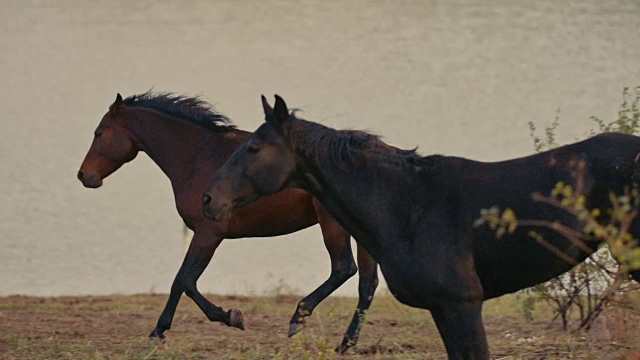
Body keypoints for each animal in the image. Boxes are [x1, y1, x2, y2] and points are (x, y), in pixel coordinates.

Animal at [79, 92, 380, 352]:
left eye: (99, 133)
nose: (84, 175)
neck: (198, 157)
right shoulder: (204, 235)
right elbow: (181, 281)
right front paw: (160, 332)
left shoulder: (208, 234)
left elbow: (185, 280)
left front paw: (229, 317)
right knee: (367, 284)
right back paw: (345, 344)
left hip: (334, 225)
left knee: (343, 269)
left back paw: (298, 319)